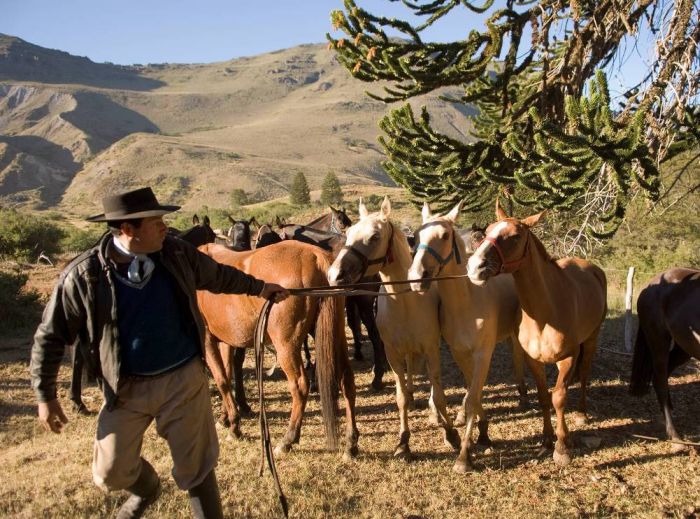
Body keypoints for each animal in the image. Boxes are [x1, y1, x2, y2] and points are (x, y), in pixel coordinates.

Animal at [197, 240, 360, 460]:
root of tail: (317, 257)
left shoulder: (207, 339)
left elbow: (222, 380)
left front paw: (234, 426)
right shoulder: (226, 341)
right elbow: (228, 376)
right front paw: (225, 419)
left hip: (286, 346)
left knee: (299, 386)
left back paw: (288, 440)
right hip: (335, 335)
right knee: (347, 381)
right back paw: (351, 444)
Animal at [410, 201, 524, 474]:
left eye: (444, 235)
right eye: (416, 236)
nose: (418, 276)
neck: (467, 302)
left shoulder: (483, 353)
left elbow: (472, 398)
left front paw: (464, 456)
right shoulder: (459, 352)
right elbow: (473, 393)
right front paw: (478, 433)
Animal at [464, 202, 608, 468]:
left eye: (515, 236)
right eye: (487, 231)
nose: (475, 267)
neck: (545, 314)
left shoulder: (568, 358)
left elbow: (558, 398)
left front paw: (562, 447)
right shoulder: (533, 360)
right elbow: (543, 397)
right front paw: (546, 440)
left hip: (591, 339)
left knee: (584, 374)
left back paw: (582, 413)